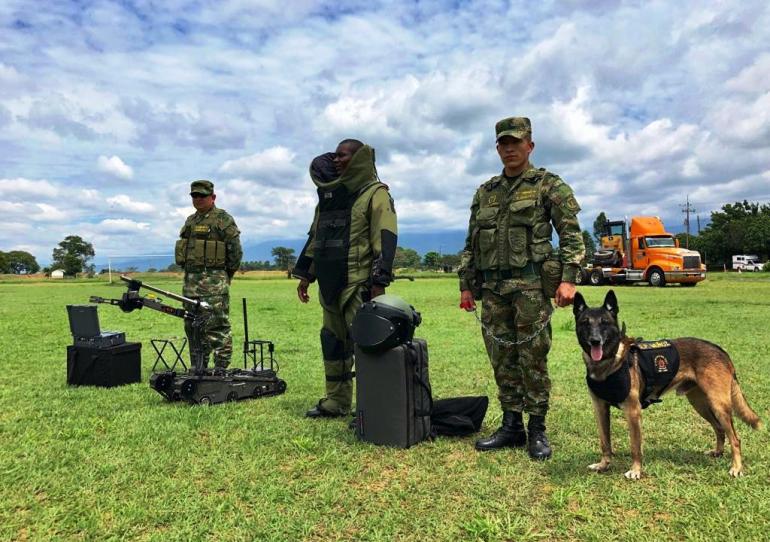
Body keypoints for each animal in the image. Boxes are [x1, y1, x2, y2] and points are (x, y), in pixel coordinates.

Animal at [572, 292, 760, 478]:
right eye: (585, 323)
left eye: (605, 322)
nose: (595, 341)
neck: (609, 362)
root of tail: (721, 351)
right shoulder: (600, 408)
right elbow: (605, 442)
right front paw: (604, 465)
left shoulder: (633, 411)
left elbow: (635, 446)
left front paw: (636, 470)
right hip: (701, 404)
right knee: (719, 429)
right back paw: (718, 452)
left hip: (718, 405)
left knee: (735, 438)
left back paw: (736, 467)